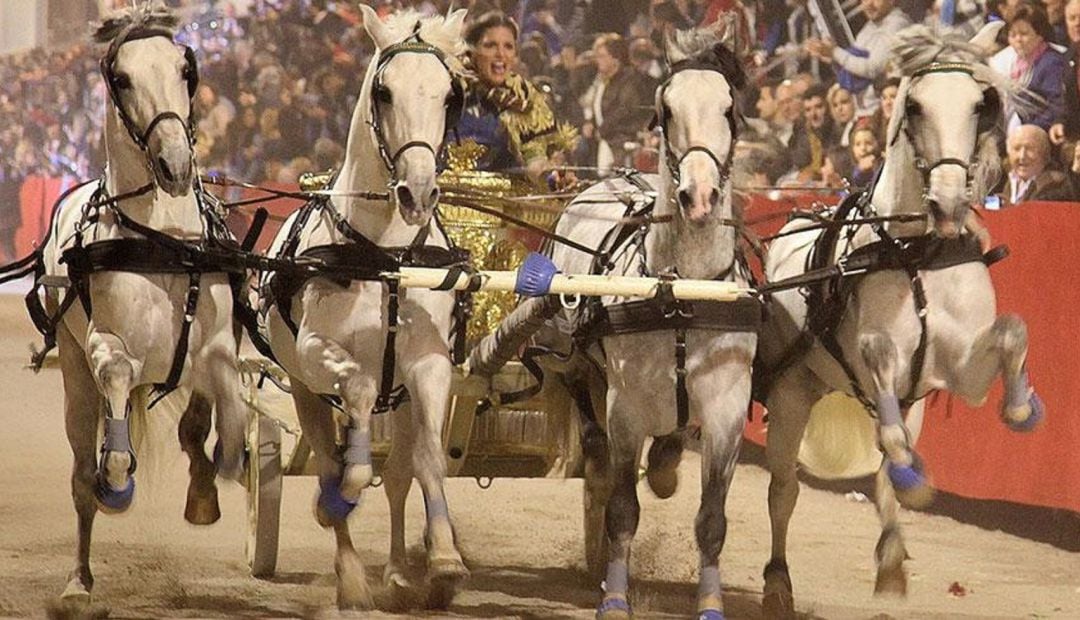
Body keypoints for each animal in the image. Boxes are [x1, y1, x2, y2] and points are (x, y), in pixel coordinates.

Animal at [35, 4, 247, 609]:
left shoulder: (215, 345)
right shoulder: (108, 350)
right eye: (122, 78)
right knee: (83, 472)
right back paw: (80, 577)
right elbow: (113, 432)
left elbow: (220, 419)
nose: (175, 163)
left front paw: (211, 483)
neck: (163, 241)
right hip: (74, 375)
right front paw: (118, 481)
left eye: (185, 69)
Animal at [259, 6, 470, 613]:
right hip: (303, 388)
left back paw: (398, 572)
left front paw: (443, 558)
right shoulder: (316, 352)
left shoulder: (429, 364)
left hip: (400, 398)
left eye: (450, 95)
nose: (417, 192)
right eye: (383, 91)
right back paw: (351, 574)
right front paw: (346, 487)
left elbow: (427, 459)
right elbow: (353, 400)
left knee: (399, 474)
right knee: (329, 460)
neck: (388, 256)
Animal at [756, 24, 1041, 617]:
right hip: (793, 391)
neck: (917, 252)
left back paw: (891, 554)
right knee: (785, 489)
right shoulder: (875, 356)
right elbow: (880, 365)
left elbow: (1012, 331)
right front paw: (915, 477)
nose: (950, 201)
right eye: (914, 106)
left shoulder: (960, 374)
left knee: (887, 467)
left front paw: (1024, 407)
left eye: (981, 104)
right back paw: (777, 583)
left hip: (915, 405)